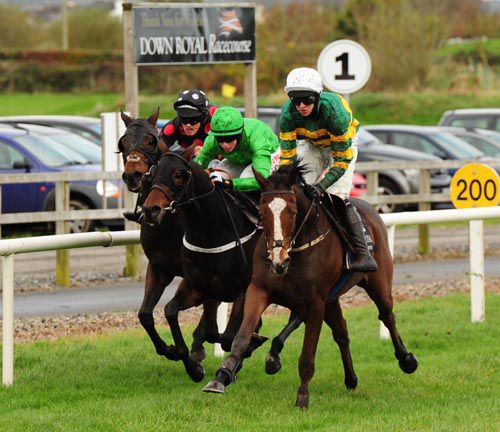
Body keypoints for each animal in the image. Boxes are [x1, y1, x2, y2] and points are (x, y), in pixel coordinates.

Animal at [118, 107, 220, 362]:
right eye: (123, 141)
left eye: (151, 140)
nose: (133, 175)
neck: (170, 223)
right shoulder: (159, 267)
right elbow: (144, 314)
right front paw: (170, 350)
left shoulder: (196, 271)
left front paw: (196, 347)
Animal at [203, 161, 418, 408]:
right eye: (262, 212)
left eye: (293, 212)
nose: (277, 259)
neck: (295, 250)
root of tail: (371, 210)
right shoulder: (259, 290)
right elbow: (241, 337)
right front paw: (221, 377)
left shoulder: (315, 303)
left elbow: (307, 356)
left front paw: (302, 398)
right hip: (332, 299)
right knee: (341, 333)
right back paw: (351, 378)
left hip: (378, 283)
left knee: (387, 316)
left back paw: (407, 360)